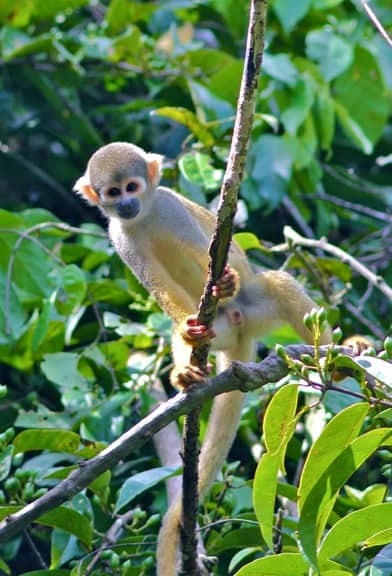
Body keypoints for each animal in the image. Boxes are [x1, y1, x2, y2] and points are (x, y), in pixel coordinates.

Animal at [73, 142, 330, 572]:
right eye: (112, 193)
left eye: (132, 186)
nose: (125, 203)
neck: (145, 216)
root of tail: (240, 337)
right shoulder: (120, 238)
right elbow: (160, 291)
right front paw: (186, 331)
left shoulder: (170, 207)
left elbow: (205, 248)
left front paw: (224, 280)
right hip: (220, 330)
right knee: (183, 327)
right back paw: (187, 371)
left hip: (254, 308)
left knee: (275, 284)